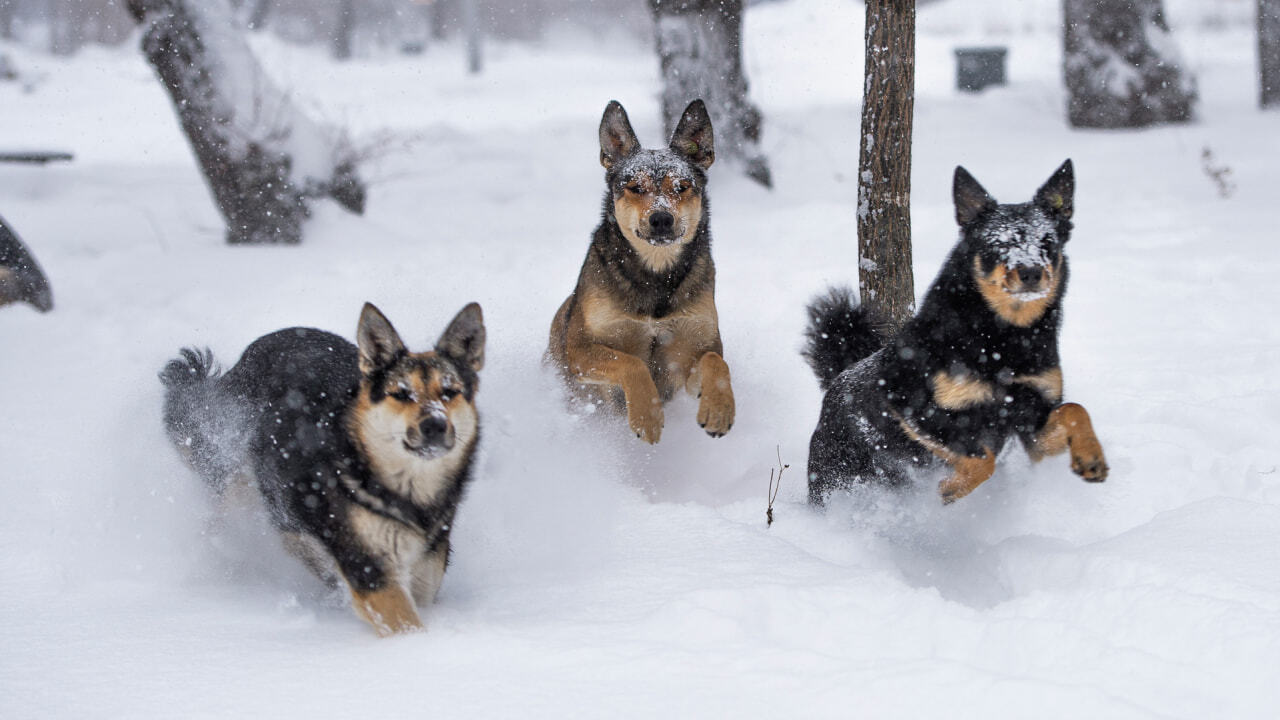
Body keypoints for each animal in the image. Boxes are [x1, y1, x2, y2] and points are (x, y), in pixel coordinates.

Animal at [157, 301, 481, 632]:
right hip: (243, 491)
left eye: (449, 392)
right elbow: (404, 622)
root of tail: (250, 354)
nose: (435, 425)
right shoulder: (368, 567)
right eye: (401, 394)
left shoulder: (425, 568)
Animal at [545, 97, 737, 440]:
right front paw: (647, 416)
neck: (655, 277)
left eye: (682, 186)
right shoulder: (579, 349)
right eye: (634, 187)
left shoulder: (688, 353)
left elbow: (715, 361)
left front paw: (719, 410)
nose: (661, 218)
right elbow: (631, 363)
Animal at [803, 158, 1105, 502]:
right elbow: (982, 459)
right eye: (998, 243)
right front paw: (950, 488)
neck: (1002, 340)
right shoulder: (914, 409)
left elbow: (1074, 410)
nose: (1030, 272)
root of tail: (837, 379)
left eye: (1048, 242)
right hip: (833, 478)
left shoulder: (1032, 421)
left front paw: (1091, 457)